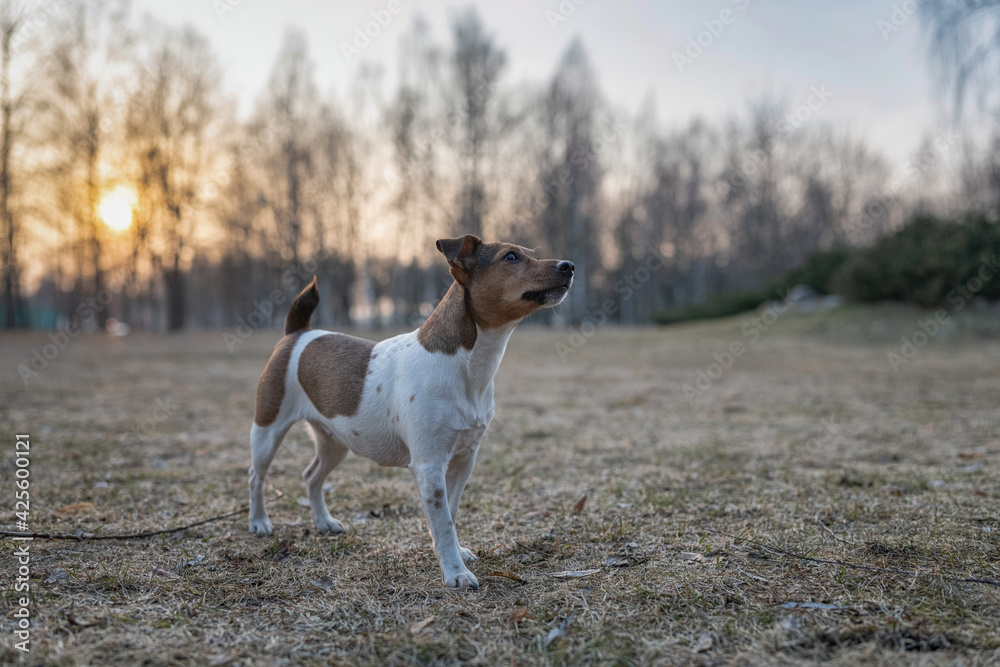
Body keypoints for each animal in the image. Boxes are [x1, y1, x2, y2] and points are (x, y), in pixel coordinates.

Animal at [247, 235, 576, 588]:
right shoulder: (430, 466)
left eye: (532, 254)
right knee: (256, 475)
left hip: (335, 442)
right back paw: (259, 522)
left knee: (311, 476)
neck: (466, 367)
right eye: (511, 257)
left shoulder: (464, 460)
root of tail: (298, 334)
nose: (569, 265)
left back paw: (324, 522)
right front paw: (456, 572)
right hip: (267, 430)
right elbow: (442, 522)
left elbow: (451, 514)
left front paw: (455, 554)